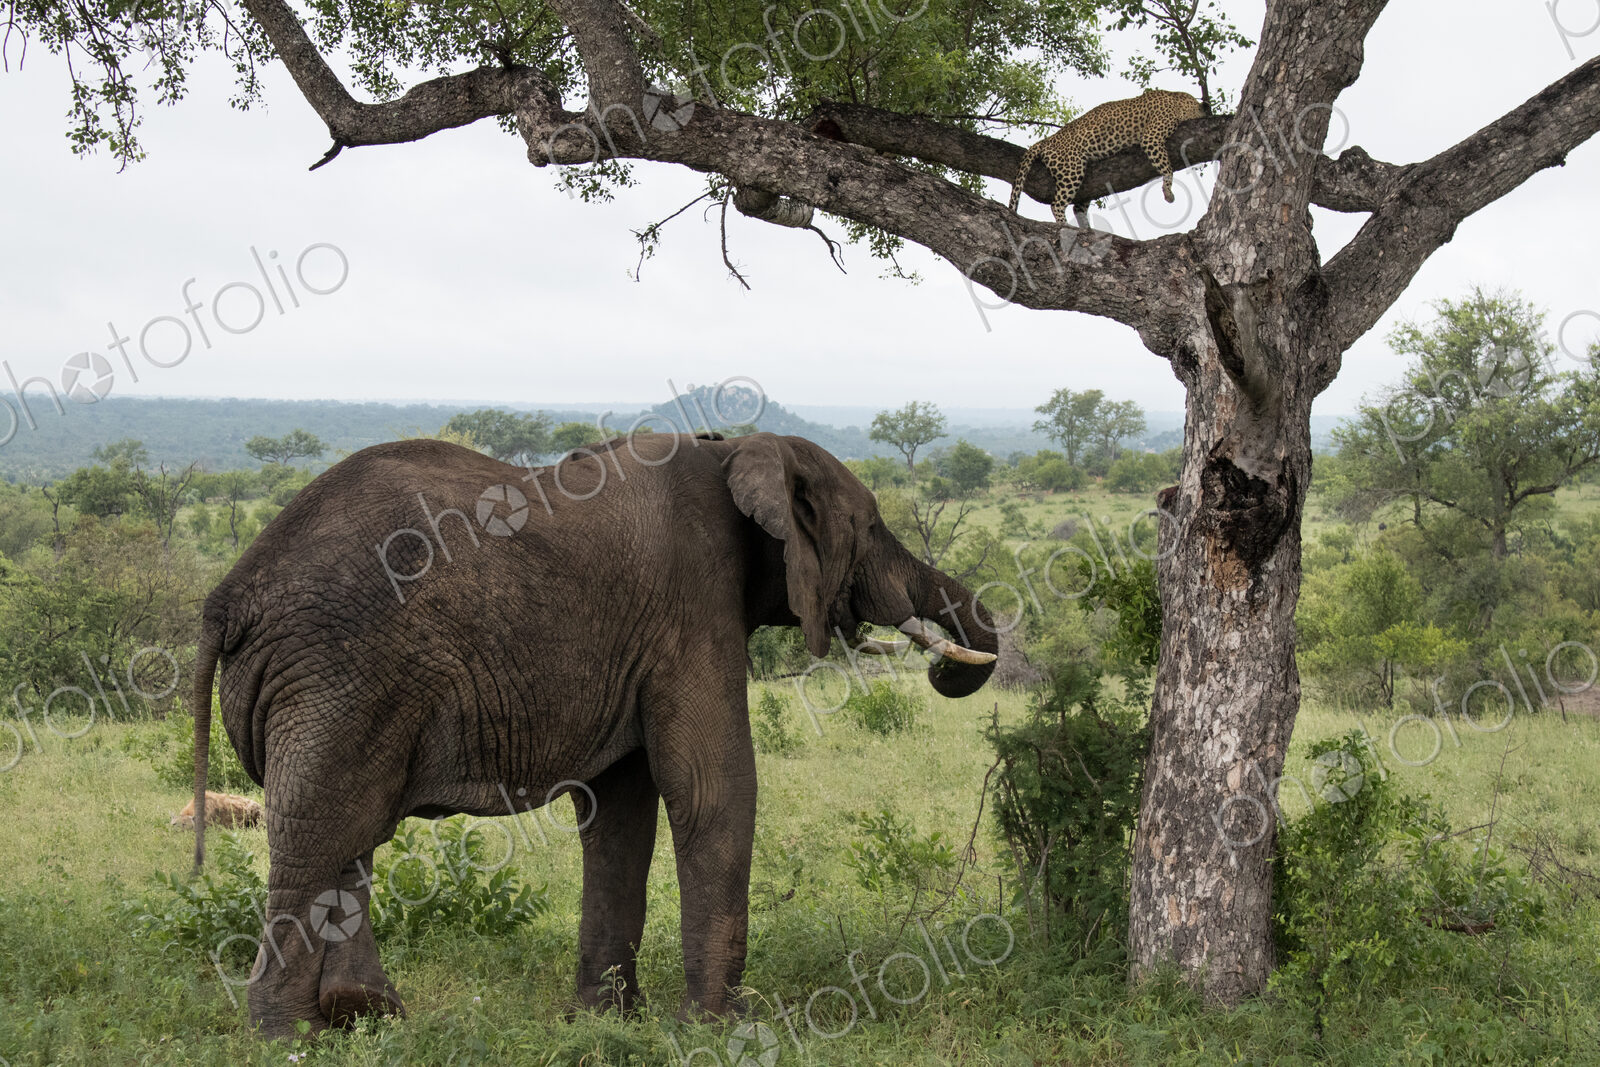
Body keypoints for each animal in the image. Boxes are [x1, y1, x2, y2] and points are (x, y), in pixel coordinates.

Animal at [187, 430, 997, 1038]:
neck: (736, 446)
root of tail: (226, 596)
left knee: (350, 837)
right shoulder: (694, 602)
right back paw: (290, 1037)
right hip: (338, 674)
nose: (945, 667)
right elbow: (711, 784)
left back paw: (368, 1017)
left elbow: (621, 810)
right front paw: (717, 1031)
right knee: (322, 834)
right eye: (870, 529)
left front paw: (608, 1022)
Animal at [1007, 88, 1203, 224]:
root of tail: (1046, 140)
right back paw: (1065, 225)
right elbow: (1167, 168)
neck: (1180, 100)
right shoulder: (1151, 138)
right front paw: (1168, 192)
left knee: (1078, 207)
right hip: (1072, 169)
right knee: (1057, 204)